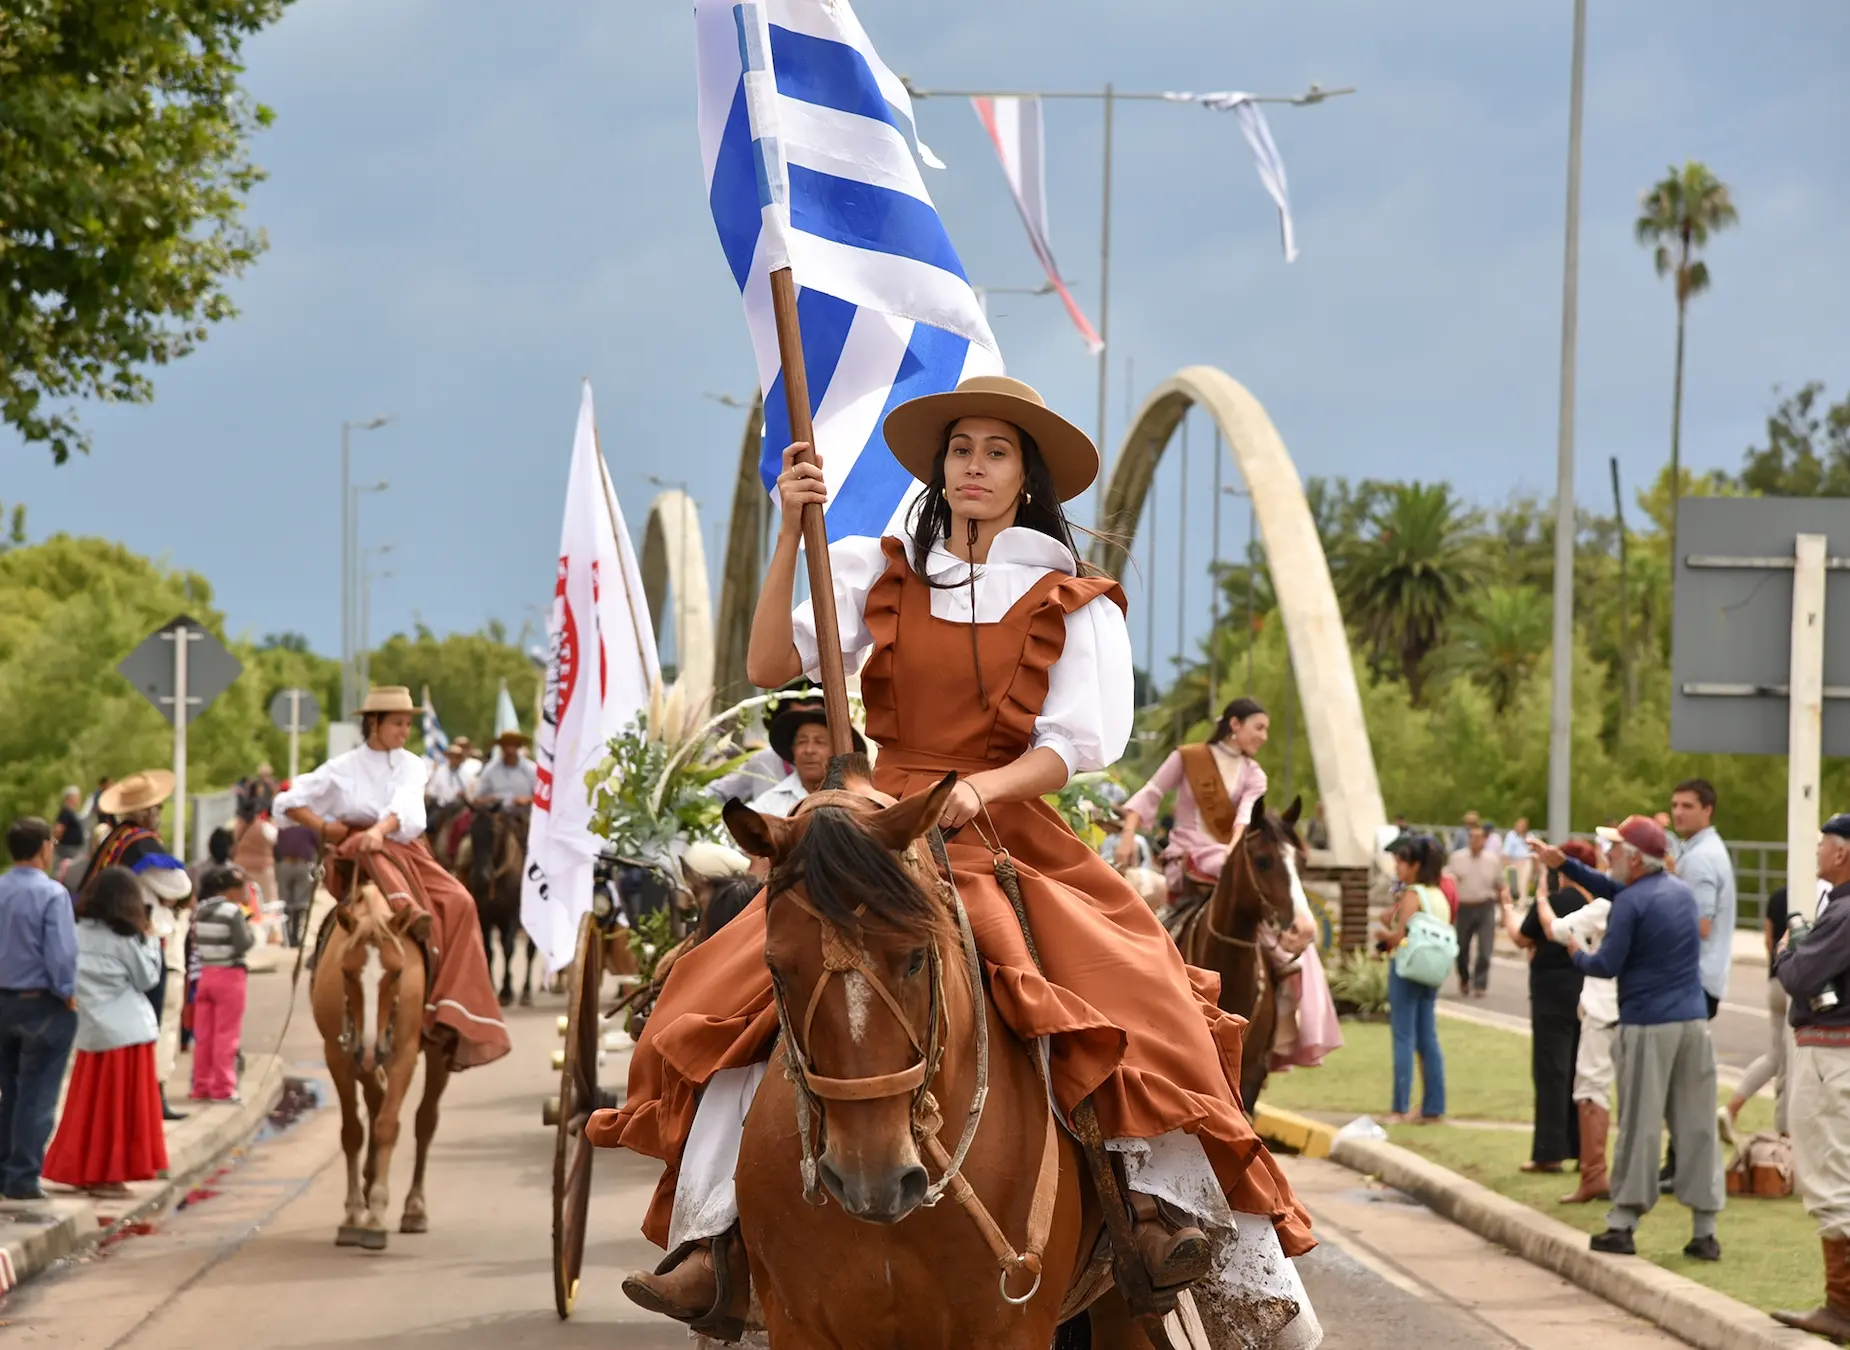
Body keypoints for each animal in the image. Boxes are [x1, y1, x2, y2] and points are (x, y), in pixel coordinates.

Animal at [310, 869, 455, 1242]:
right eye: (346, 971)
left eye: (398, 972)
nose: (371, 1046)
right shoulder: (338, 1054)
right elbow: (353, 1131)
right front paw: (352, 1213)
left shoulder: (403, 1055)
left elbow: (388, 1125)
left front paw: (375, 1213)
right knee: (375, 1100)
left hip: (437, 1055)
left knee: (425, 1121)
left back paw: (414, 1208)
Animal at [466, 798, 540, 1006]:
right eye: (472, 831)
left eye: (493, 831)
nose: (480, 876)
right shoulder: (484, 914)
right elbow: (489, 950)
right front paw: (491, 988)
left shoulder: (514, 914)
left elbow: (509, 948)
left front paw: (506, 991)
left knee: (530, 951)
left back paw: (526, 991)